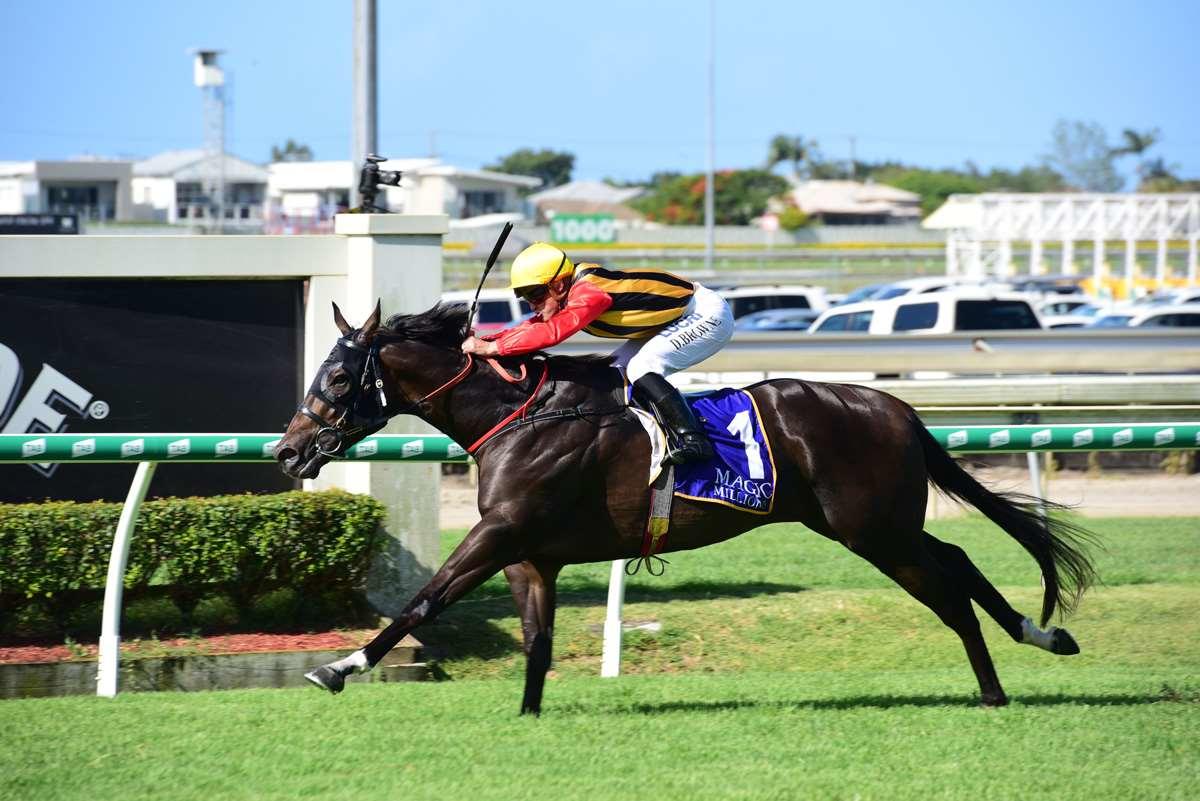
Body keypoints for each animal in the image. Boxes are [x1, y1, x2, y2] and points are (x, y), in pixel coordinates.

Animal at [275, 300, 1097, 715]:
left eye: (339, 376)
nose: (288, 451)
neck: (519, 414)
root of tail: (893, 404)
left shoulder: (499, 532)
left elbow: (424, 599)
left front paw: (339, 667)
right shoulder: (529, 553)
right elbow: (537, 640)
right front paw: (529, 715)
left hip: (872, 529)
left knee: (949, 590)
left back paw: (995, 687)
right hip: (879, 525)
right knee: (957, 559)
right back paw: (1042, 636)